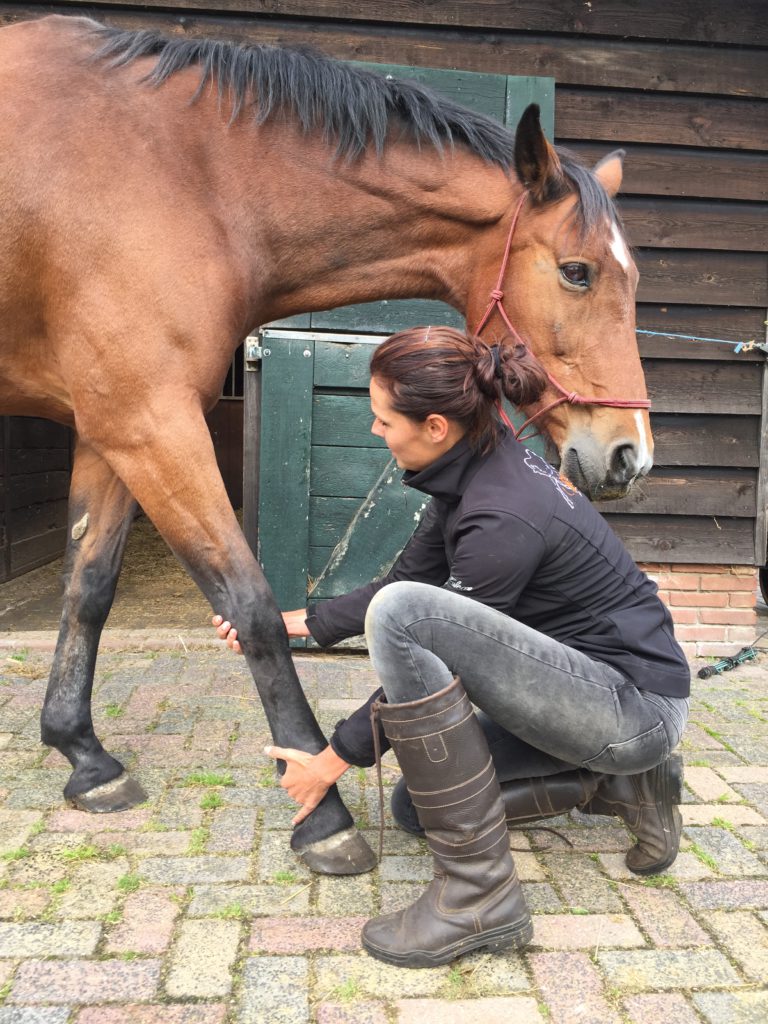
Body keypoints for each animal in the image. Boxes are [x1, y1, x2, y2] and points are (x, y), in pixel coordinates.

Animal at [0, 14, 652, 875]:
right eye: (577, 272)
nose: (630, 455)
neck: (181, 177)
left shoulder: (114, 426)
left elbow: (88, 589)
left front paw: (83, 755)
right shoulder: (150, 420)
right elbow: (253, 608)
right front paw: (324, 811)